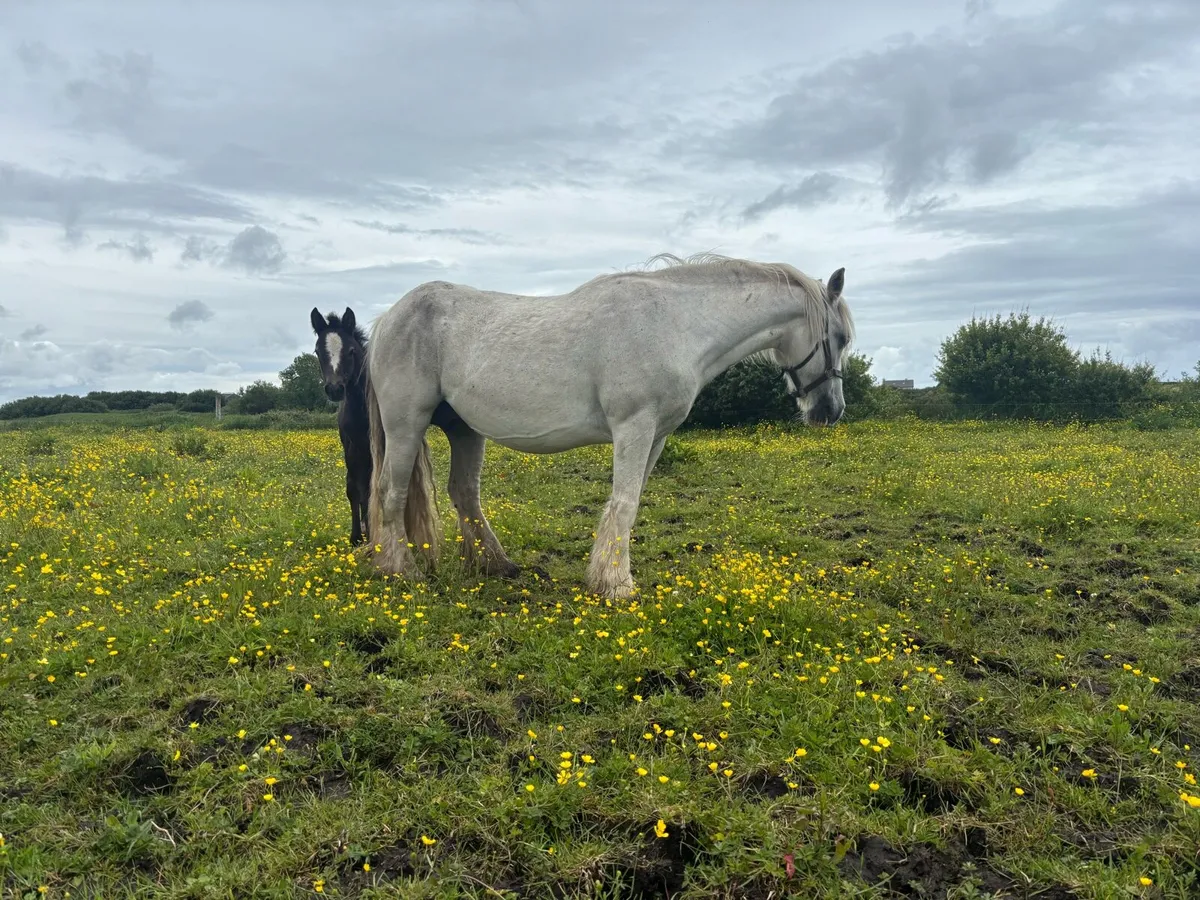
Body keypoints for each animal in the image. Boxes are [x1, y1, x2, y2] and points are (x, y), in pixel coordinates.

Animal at [311, 306, 373, 546]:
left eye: (351, 351)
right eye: (318, 351)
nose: (335, 389)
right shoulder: (352, 448)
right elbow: (355, 490)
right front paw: (357, 536)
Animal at [362, 253, 856, 599]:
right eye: (841, 337)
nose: (830, 411)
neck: (677, 325)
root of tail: (388, 318)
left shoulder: (656, 437)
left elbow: (630, 503)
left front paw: (607, 575)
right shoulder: (634, 428)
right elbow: (624, 503)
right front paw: (616, 584)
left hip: (464, 430)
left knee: (464, 493)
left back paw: (496, 565)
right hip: (407, 424)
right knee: (391, 491)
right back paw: (400, 569)